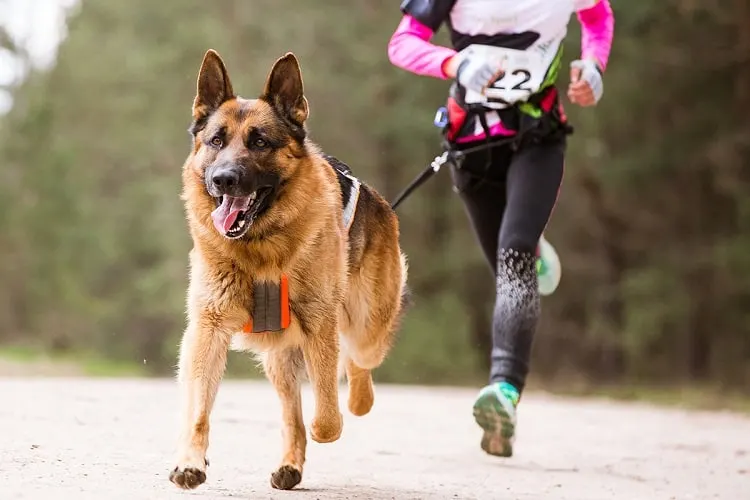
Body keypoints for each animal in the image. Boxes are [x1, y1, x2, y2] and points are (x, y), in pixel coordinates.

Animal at [169, 50, 412, 492]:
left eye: (259, 142)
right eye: (216, 141)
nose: (223, 179)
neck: (261, 249)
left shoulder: (320, 326)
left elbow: (327, 418)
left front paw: (329, 422)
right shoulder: (207, 330)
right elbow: (198, 410)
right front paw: (190, 462)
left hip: (365, 326)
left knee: (357, 364)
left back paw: (358, 401)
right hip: (280, 360)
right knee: (290, 415)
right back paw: (290, 465)